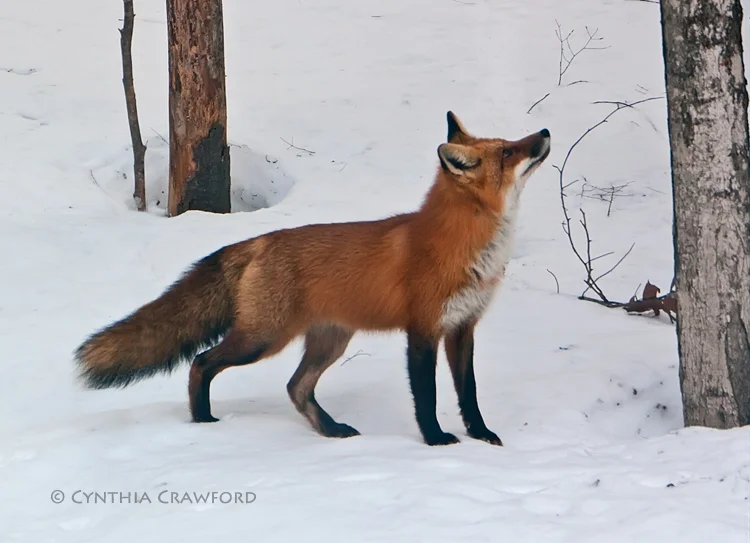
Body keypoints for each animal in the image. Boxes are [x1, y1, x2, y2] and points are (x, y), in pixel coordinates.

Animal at [74, 112, 550, 446]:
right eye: (508, 153)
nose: (545, 132)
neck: (464, 247)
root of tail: (258, 241)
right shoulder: (423, 331)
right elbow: (428, 397)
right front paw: (435, 440)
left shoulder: (462, 328)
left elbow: (469, 394)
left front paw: (481, 435)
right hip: (263, 339)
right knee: (202, 362)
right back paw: (203, 419)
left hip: (328, 341)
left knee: (296, 387)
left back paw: (330, 429)